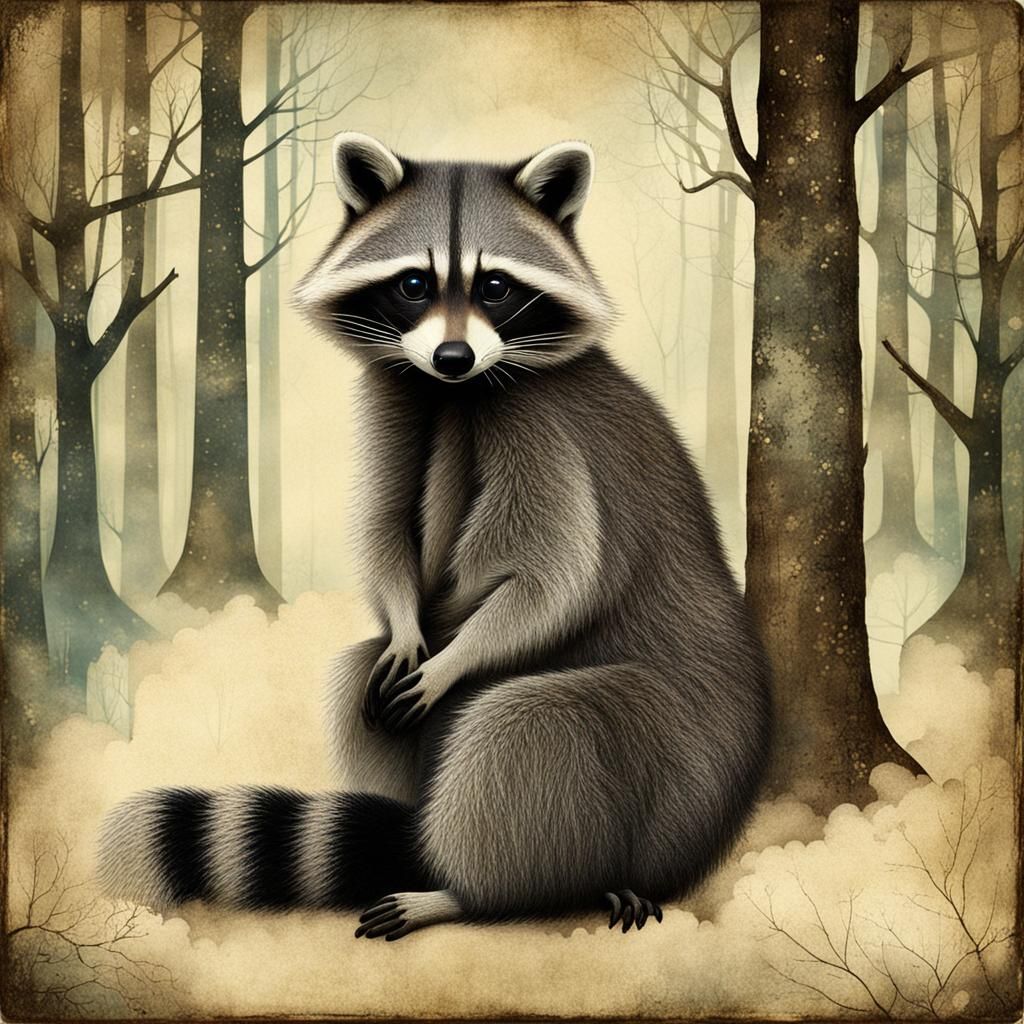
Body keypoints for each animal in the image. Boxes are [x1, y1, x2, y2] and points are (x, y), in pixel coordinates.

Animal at [98, 134, 772, 940]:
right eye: (415, 284)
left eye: (496, 287)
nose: (453, 357)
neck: (456, 393)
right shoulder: (396, 395)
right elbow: (385, 528)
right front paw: (405, 624)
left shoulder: (545, 428)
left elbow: (552, 573)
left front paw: (460, 656)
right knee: (357, 678)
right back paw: (414, 834)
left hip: (670, 748)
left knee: (532, 727)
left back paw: (472, 889)